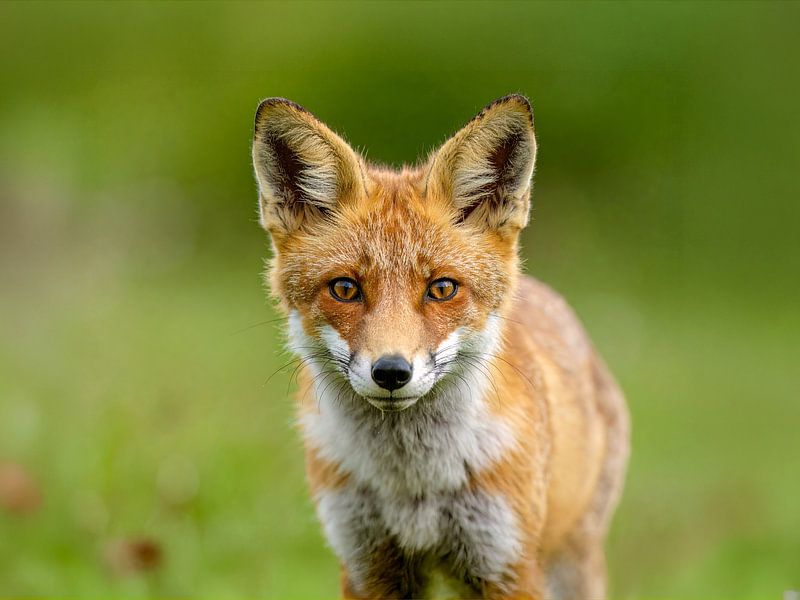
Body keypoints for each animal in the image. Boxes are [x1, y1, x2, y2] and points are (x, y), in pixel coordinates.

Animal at [251, 94, 629, 600]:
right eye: (345, 289)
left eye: (442, 288)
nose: (391, 371)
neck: (412, 486)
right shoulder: (366, 565)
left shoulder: (506, 564)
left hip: (572, 560)